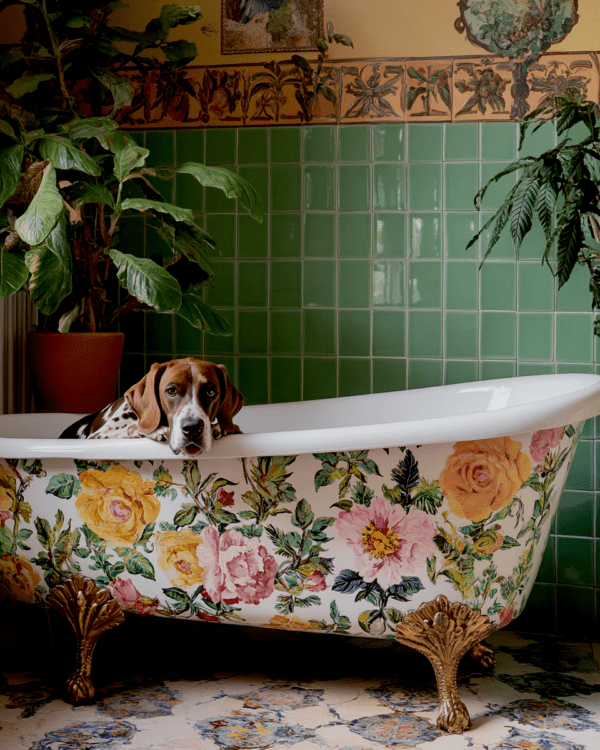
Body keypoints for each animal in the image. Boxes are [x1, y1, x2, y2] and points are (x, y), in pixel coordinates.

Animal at [57, 360, 243, 458]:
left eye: (210, 392)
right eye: (171, 390)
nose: (192, 428)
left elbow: (233, 427)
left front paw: (219, 428)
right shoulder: (98, 436)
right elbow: (132, 428)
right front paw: (157, 430)